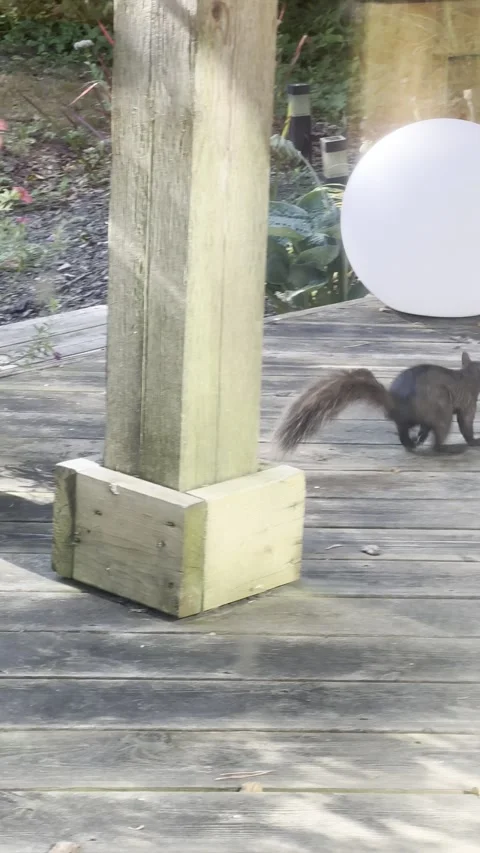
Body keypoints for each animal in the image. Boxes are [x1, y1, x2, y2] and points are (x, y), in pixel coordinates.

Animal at [275, 351, 480, 453]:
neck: (469, 376)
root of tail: (397, 403)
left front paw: (421, 436)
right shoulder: (469, 402)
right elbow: (466, 424)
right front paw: (474, 441)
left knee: (406, 431)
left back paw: (413, 442)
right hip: (440, 410)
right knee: (438, 437)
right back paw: (445, 448)